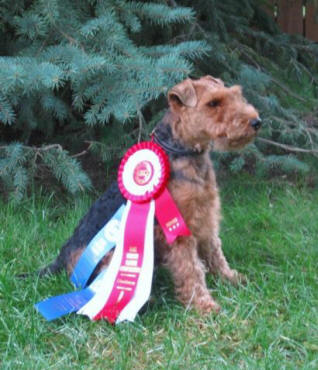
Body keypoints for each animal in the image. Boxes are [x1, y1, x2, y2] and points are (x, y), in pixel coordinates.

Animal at [38, 76, 260, 314]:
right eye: (213, 103)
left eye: (235, 95)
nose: (256, 122)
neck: (185, 153)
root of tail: (60, 258)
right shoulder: (179, 230)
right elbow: (191, 269)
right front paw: (204, 304)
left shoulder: (205, 215)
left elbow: (215, 252)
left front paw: (232, 278)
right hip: (109, 257)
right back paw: (143, 302)